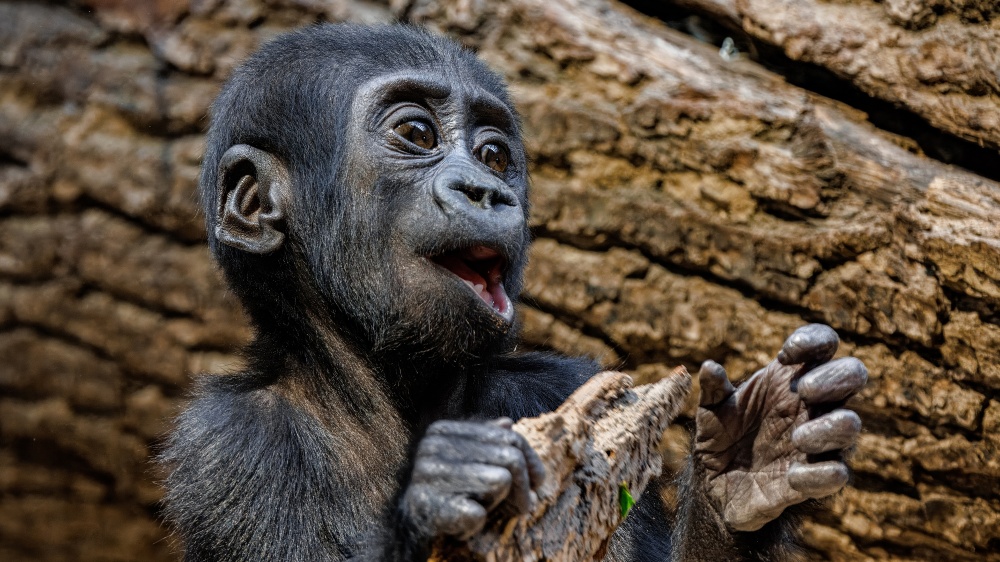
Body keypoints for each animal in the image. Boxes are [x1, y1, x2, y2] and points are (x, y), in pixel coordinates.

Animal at [164, 23, 868, 560]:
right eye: (416, 134)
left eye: (495, 154)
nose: (486, 190)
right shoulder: (222, 454)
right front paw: (441, 489)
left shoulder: (567, 387)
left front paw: (753, 458)